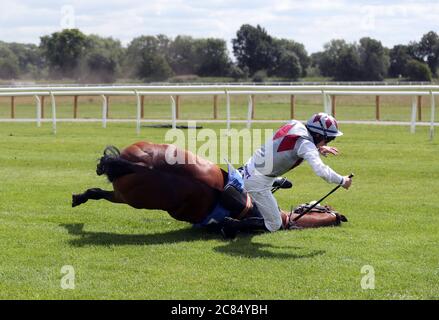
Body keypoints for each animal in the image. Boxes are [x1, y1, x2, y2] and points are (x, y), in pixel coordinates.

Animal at [72, 141, 348, 234]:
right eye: (326, 208)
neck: (287, 218)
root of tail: (146, 167)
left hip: (132, 194)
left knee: (103, 191)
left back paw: (80, 197)